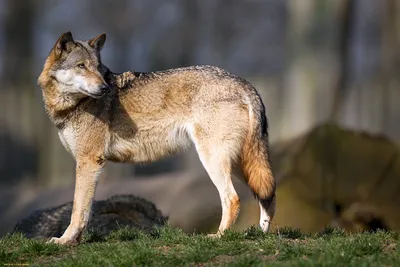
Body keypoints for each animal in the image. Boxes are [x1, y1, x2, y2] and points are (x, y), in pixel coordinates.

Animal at [37, 31, 276, 245]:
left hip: (214, 161)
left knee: (233, 199)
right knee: (268, 195)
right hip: (240, 164)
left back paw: (219, 236)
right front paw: (74, 241)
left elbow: (78, 210)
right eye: (81, 66)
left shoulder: (88, 162)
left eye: (97, 67)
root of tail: (244, 83)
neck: (72, 105)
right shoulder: (89, 164)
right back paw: (261, 234)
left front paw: (64, 240)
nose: (104, 88)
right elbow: (84, 209)